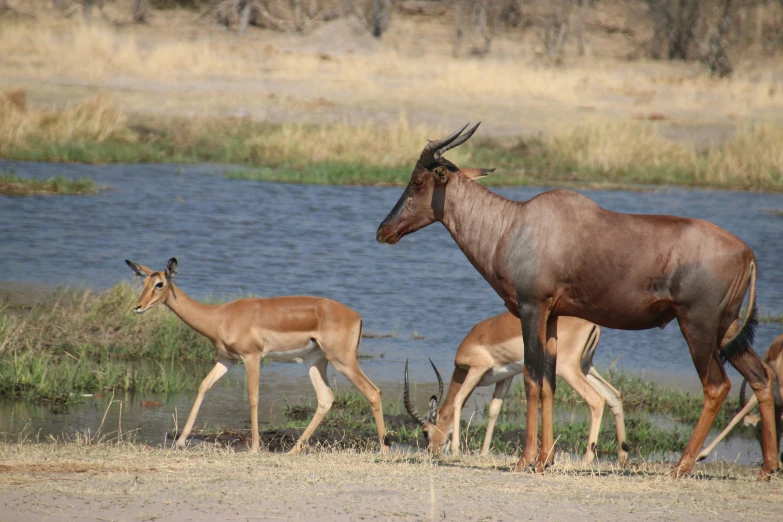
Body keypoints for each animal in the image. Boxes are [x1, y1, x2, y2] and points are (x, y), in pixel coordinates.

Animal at [125, 258, 388, 452]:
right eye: (144, 282)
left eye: (160, 284)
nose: (137, 307)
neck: (220, 317)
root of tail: (356, 316)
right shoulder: (227, 359)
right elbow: (203, 386)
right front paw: (179, 441)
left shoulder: (252, 357)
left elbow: (253, 397)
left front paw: (254, 447)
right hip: (315, 361)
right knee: (325, 399)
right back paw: (293, 451)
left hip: (343, 361)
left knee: (373, 392)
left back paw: (384, 449)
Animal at [404, 310, 632, 462]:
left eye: (425, 431)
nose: (432, 452)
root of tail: (593, 325)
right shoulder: (505, 377)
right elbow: (494, 410)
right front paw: (484, 452)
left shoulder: (476, 369)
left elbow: (459, 400)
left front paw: (455, 451)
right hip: (586, 367)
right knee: (614, 395)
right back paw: (622, 456)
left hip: (569, 370)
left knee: (597, 400)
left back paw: (587, 457)